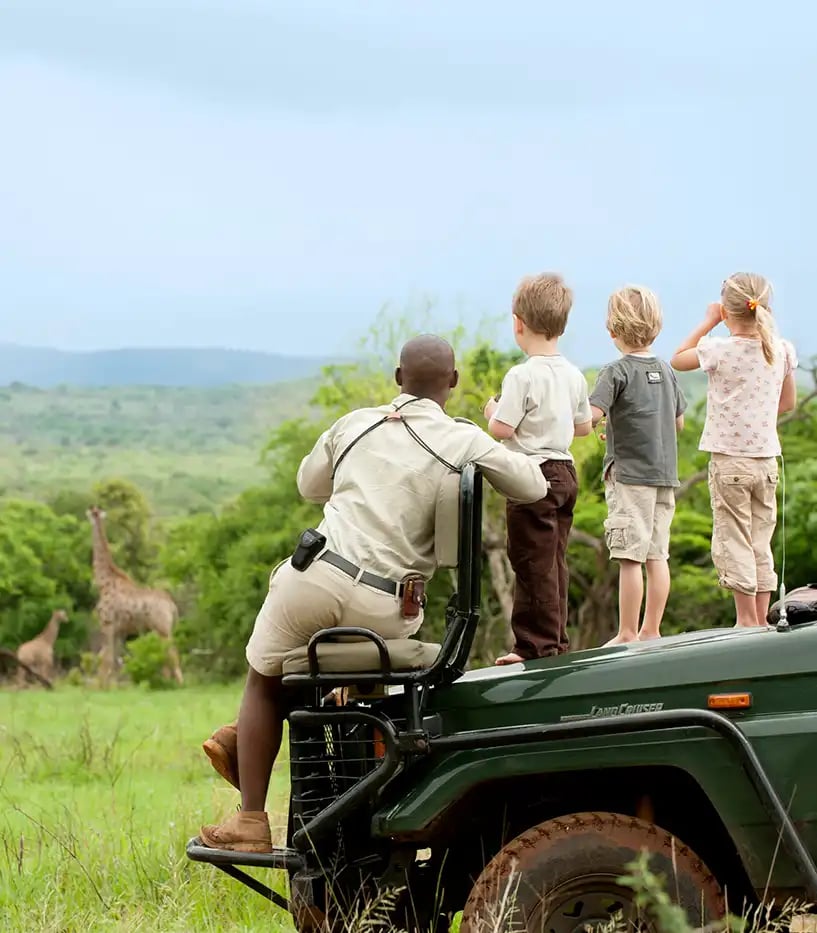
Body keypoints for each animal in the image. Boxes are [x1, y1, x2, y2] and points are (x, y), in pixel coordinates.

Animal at [87, 506, 183, 680]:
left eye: (91, 513)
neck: (104, 582)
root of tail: (172, 606)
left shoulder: (107, 624)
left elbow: (105, 661)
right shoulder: (119, 631)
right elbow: (111, 662)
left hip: (163, 630)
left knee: (173, 655)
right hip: (161, 630)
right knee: (166, 658)